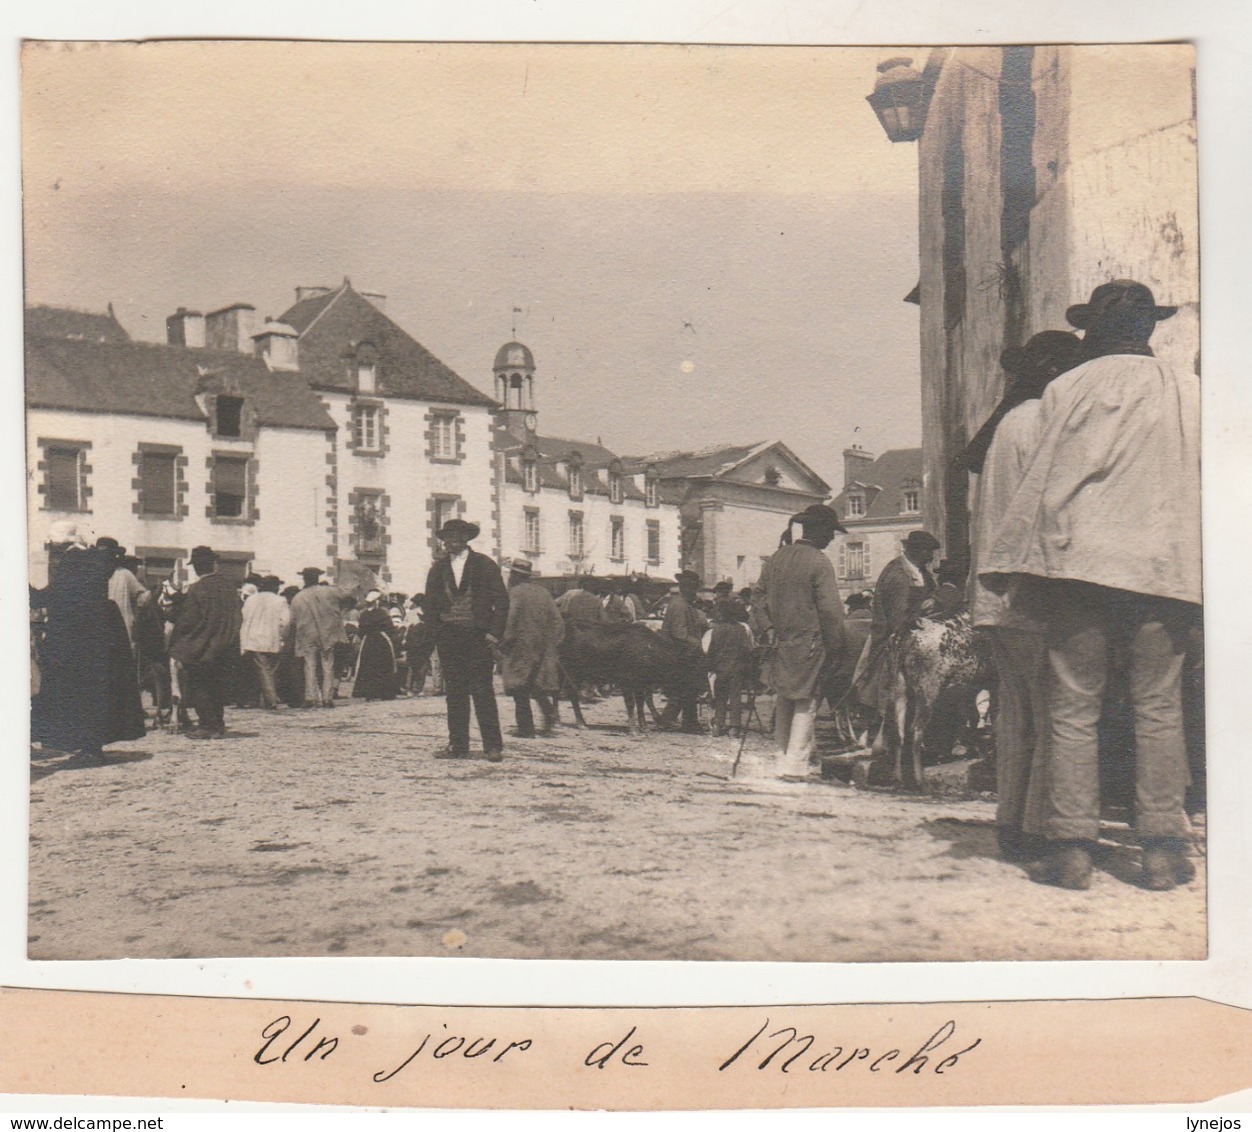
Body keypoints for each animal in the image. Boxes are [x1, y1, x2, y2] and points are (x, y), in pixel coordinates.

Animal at [555, 618, 706, 736]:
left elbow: (641, 702)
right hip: (572, 672)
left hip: (563, 672)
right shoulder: (626, 681)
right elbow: (631, 703)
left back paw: (559, 721)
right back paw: (580, 723)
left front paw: (644, 727)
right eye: (693, 668)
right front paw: (633, 730)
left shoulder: (641, 683)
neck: (649, 649)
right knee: (572, 693)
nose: (703, 692)